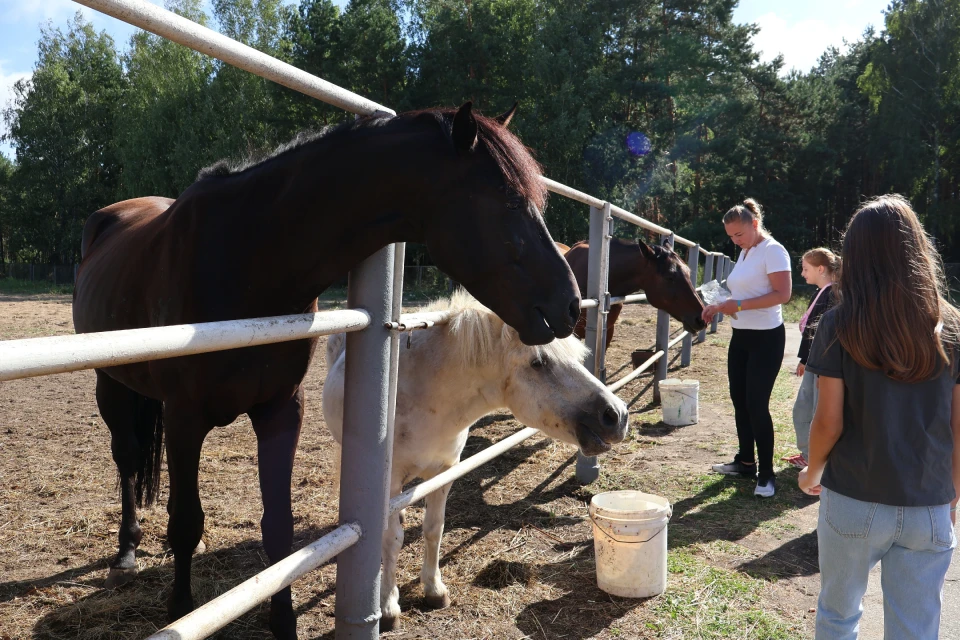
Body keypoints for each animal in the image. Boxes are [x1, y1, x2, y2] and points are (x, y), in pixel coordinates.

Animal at [71, 102, 580, 636]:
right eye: (507, 204)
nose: (569, 304)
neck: (245, 257)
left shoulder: (280, 410)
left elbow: (279, 528)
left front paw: (284, 623)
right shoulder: (184, 416)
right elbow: (185, 520)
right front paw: (181, 610)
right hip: (111, 385)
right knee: (128, 459)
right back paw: (126, 551)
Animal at [320, 290, 632, 632]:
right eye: (539, 363)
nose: (616, 415)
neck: (423, 392)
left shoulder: (444, 473)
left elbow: (434, 528)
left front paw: (434, 590)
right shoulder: (390, 484)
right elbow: (391, 539)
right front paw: (388, 607)